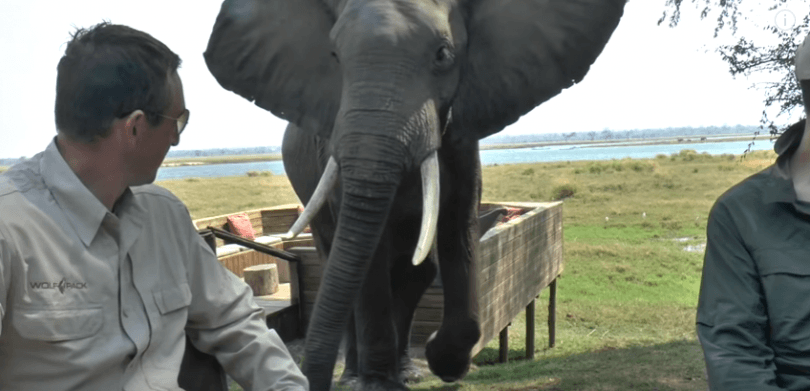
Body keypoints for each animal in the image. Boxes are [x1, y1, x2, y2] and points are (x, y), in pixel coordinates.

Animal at [204, 1, 624, 390]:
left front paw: (443, 360)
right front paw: (377, 382)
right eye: (334, 57)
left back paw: (406, 370)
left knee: (408, 273)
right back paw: (355, 376)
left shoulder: (462, 133)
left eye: (442, 55)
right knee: (338, 262)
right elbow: (366, 258)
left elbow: (457, 230)